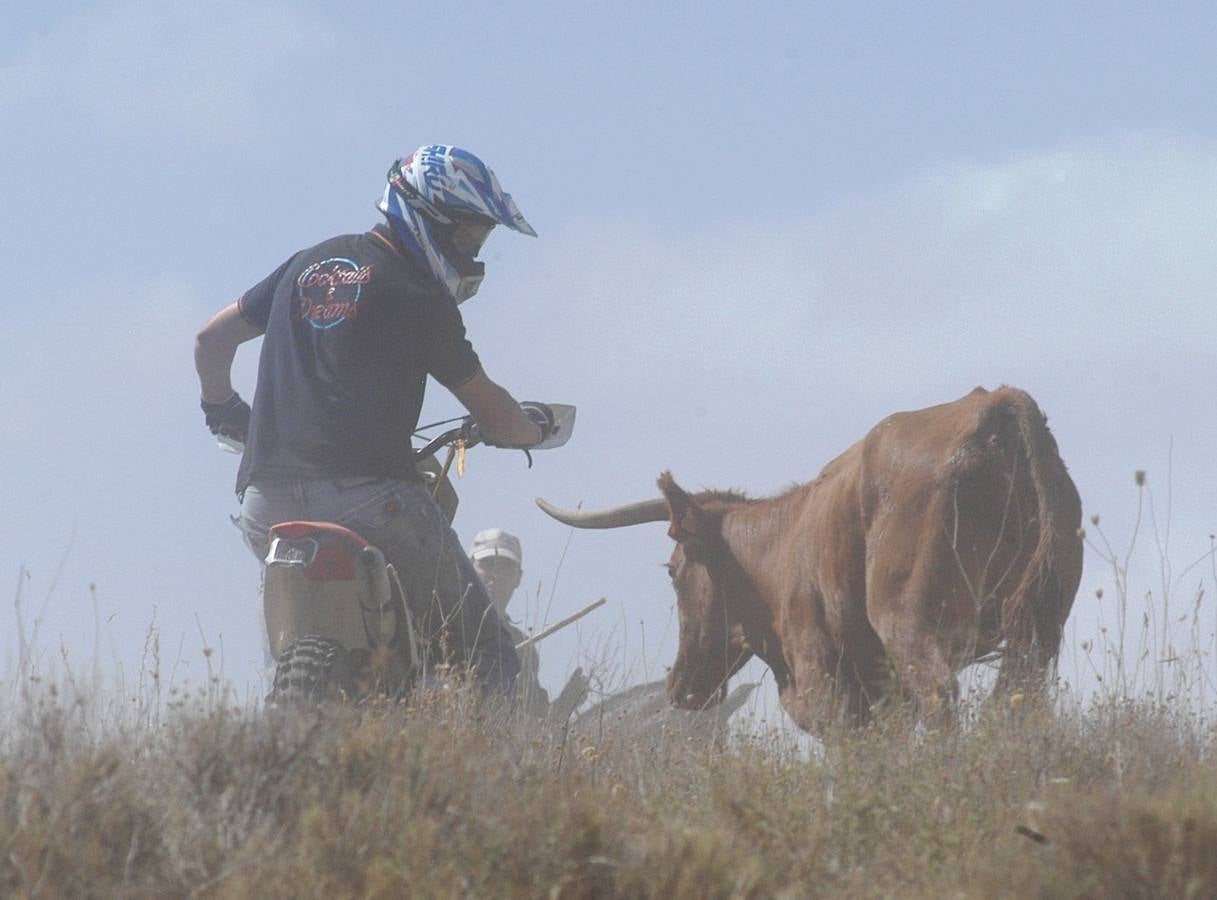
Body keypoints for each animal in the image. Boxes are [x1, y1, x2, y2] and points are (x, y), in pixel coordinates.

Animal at [537, 386, 1080, 729]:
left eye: (673, 570)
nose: (679, 687)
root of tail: (995, 403)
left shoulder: (827, 684)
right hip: (1038, 631)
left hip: (910, 624)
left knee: (942, 700)